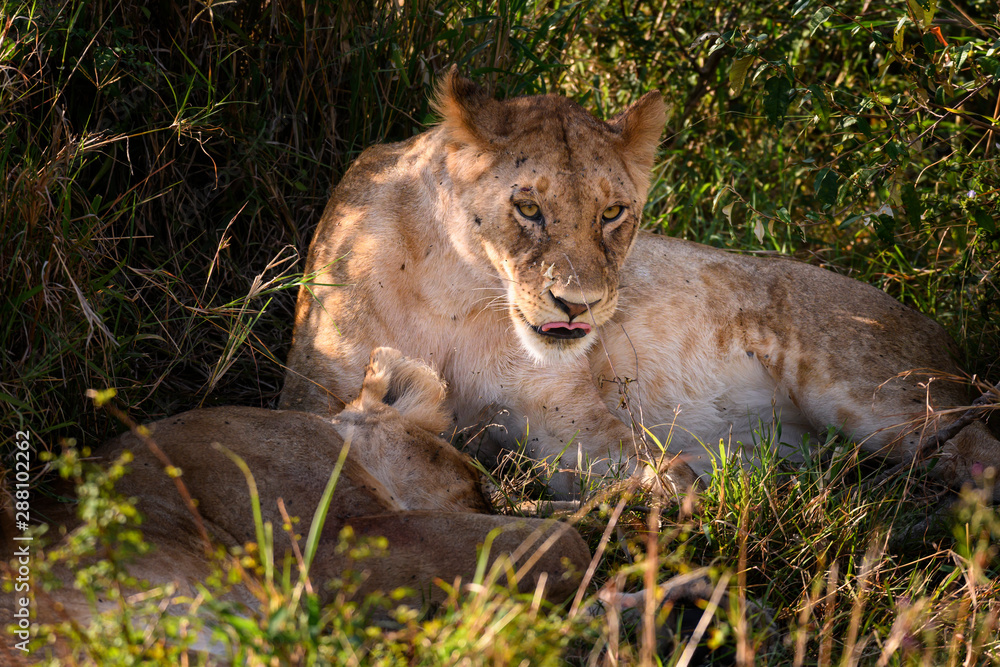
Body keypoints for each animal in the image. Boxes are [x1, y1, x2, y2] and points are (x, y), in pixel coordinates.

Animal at [280, 68, 999, 500]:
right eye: (528, 208)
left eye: (612, 212)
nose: (579, 306)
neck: (458, 294)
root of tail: (940, 330)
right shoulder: (314, 397)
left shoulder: (563, 411)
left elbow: (657, 468)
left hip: (878, 396)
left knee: (976, 444)